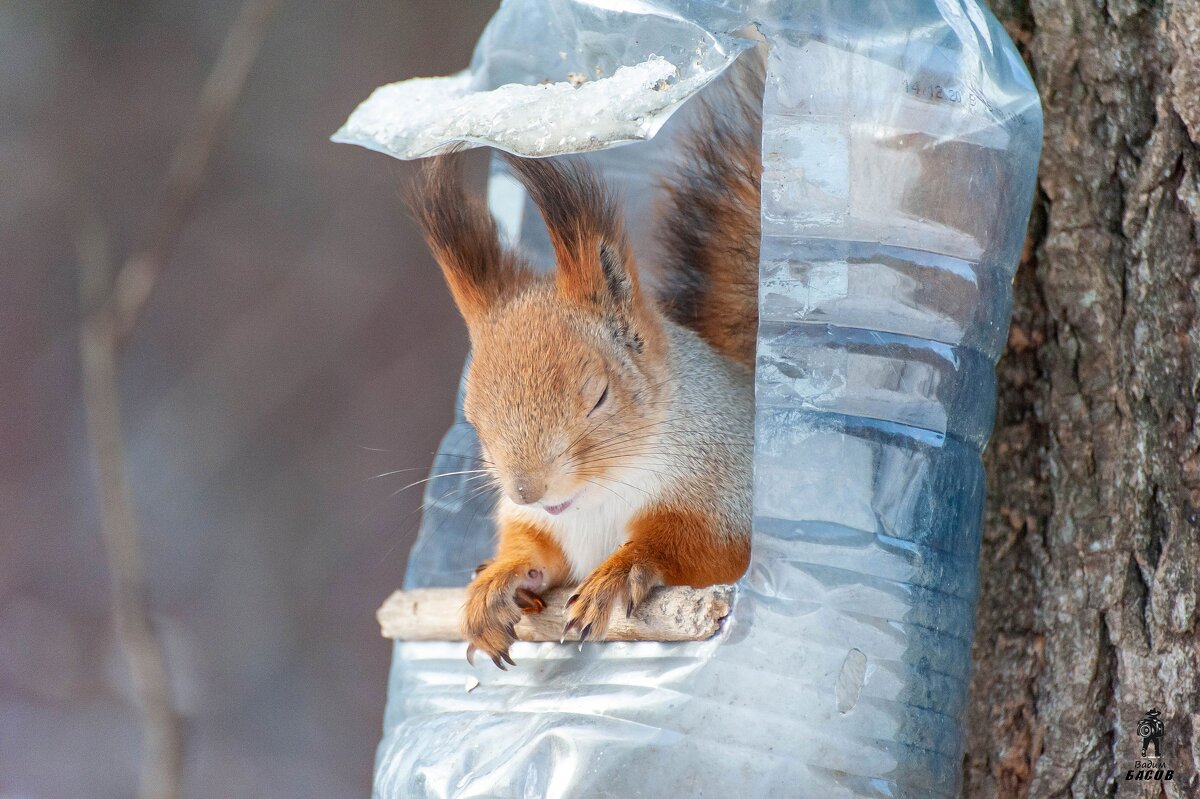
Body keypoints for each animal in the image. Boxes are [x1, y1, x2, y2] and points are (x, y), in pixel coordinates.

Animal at [405, 63, 758, 667]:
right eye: (474, 420)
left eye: (598, 396)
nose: (527, 491)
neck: (597, 499)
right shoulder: (544, 526)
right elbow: (538, 551)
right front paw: (498, 581)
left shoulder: (726, 491)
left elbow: (699, 549)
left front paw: (619, 571)